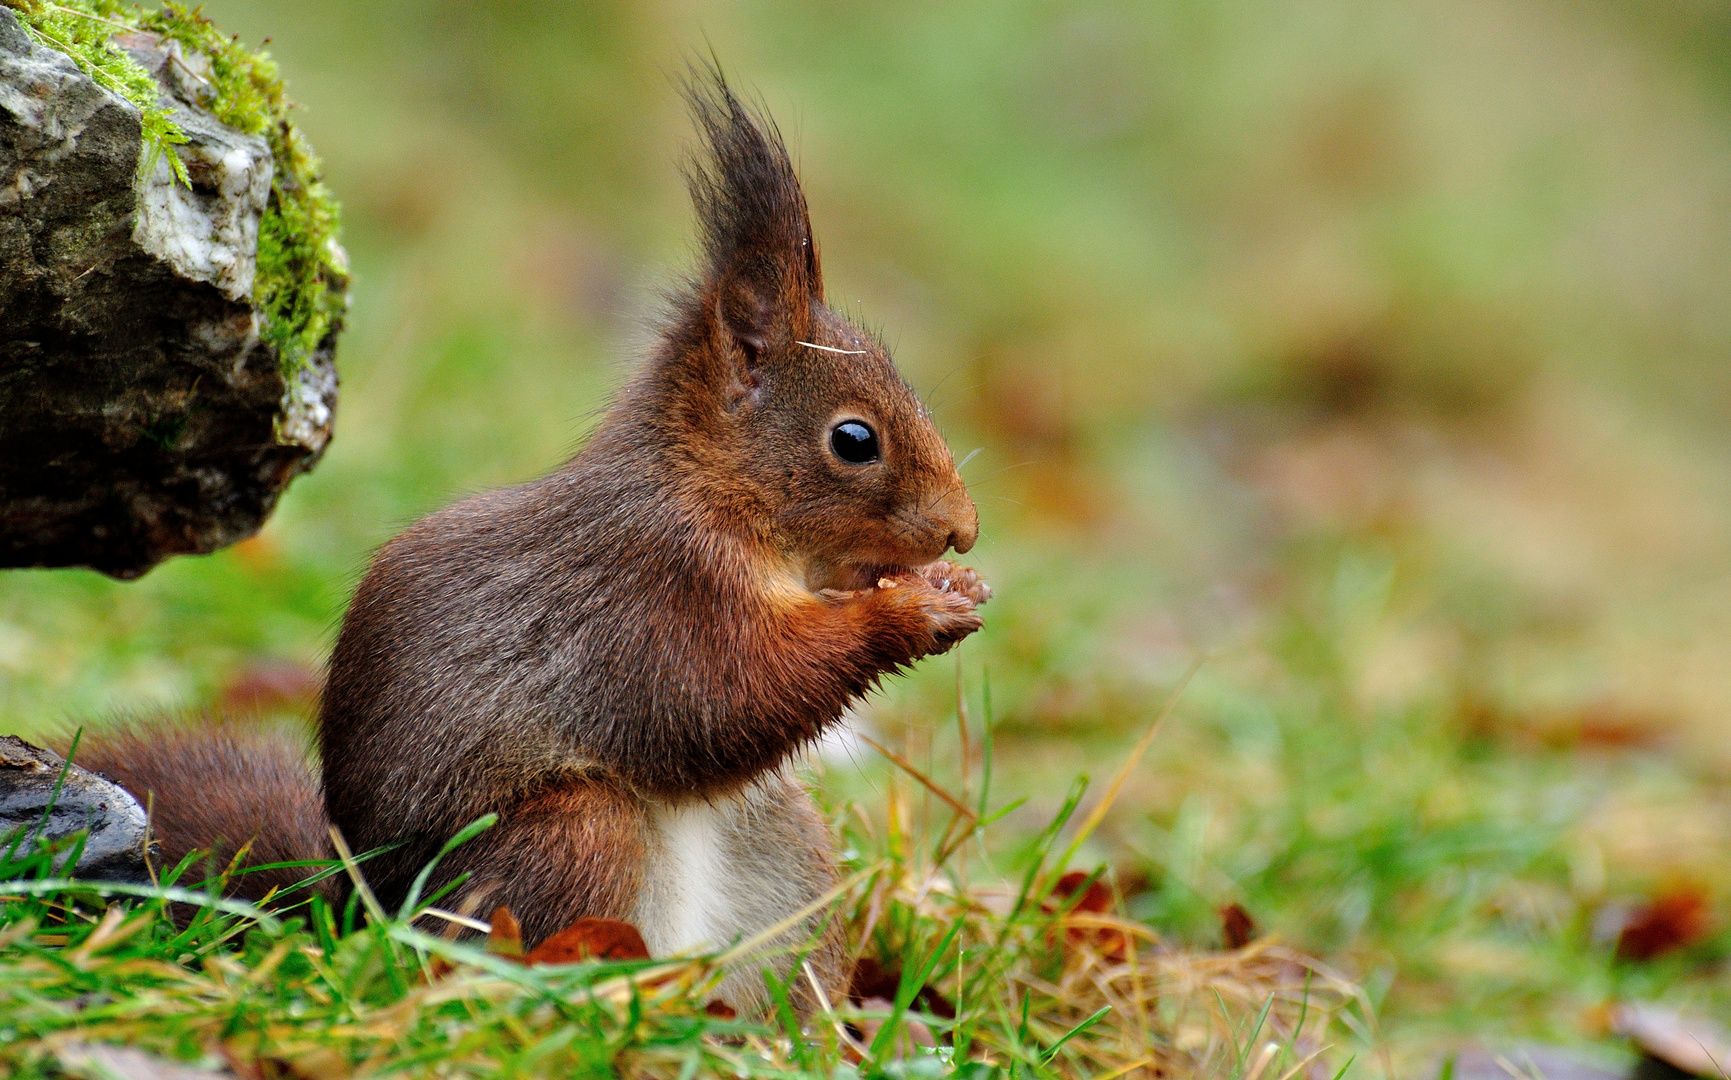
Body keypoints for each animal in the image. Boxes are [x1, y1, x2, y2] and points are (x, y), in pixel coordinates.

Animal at [77, 73, 990, 1010]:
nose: (961, 530)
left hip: (783, 845)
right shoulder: (653, 593)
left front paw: (950, 590)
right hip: (570, 838)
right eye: (854, 440)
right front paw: (910, 613)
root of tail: (365, 911)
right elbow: (724, 697)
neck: (717, 497)